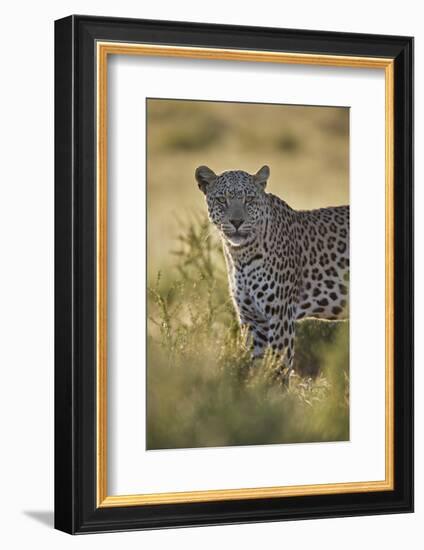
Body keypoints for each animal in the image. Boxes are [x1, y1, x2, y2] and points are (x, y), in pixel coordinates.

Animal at [195, 164, 348, 370]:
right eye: (221, 200)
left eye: (249, 199)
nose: (237, 222)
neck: (240, 256)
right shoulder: (252, 321)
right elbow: (257, 368)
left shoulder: (281, 318)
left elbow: (278, 369)